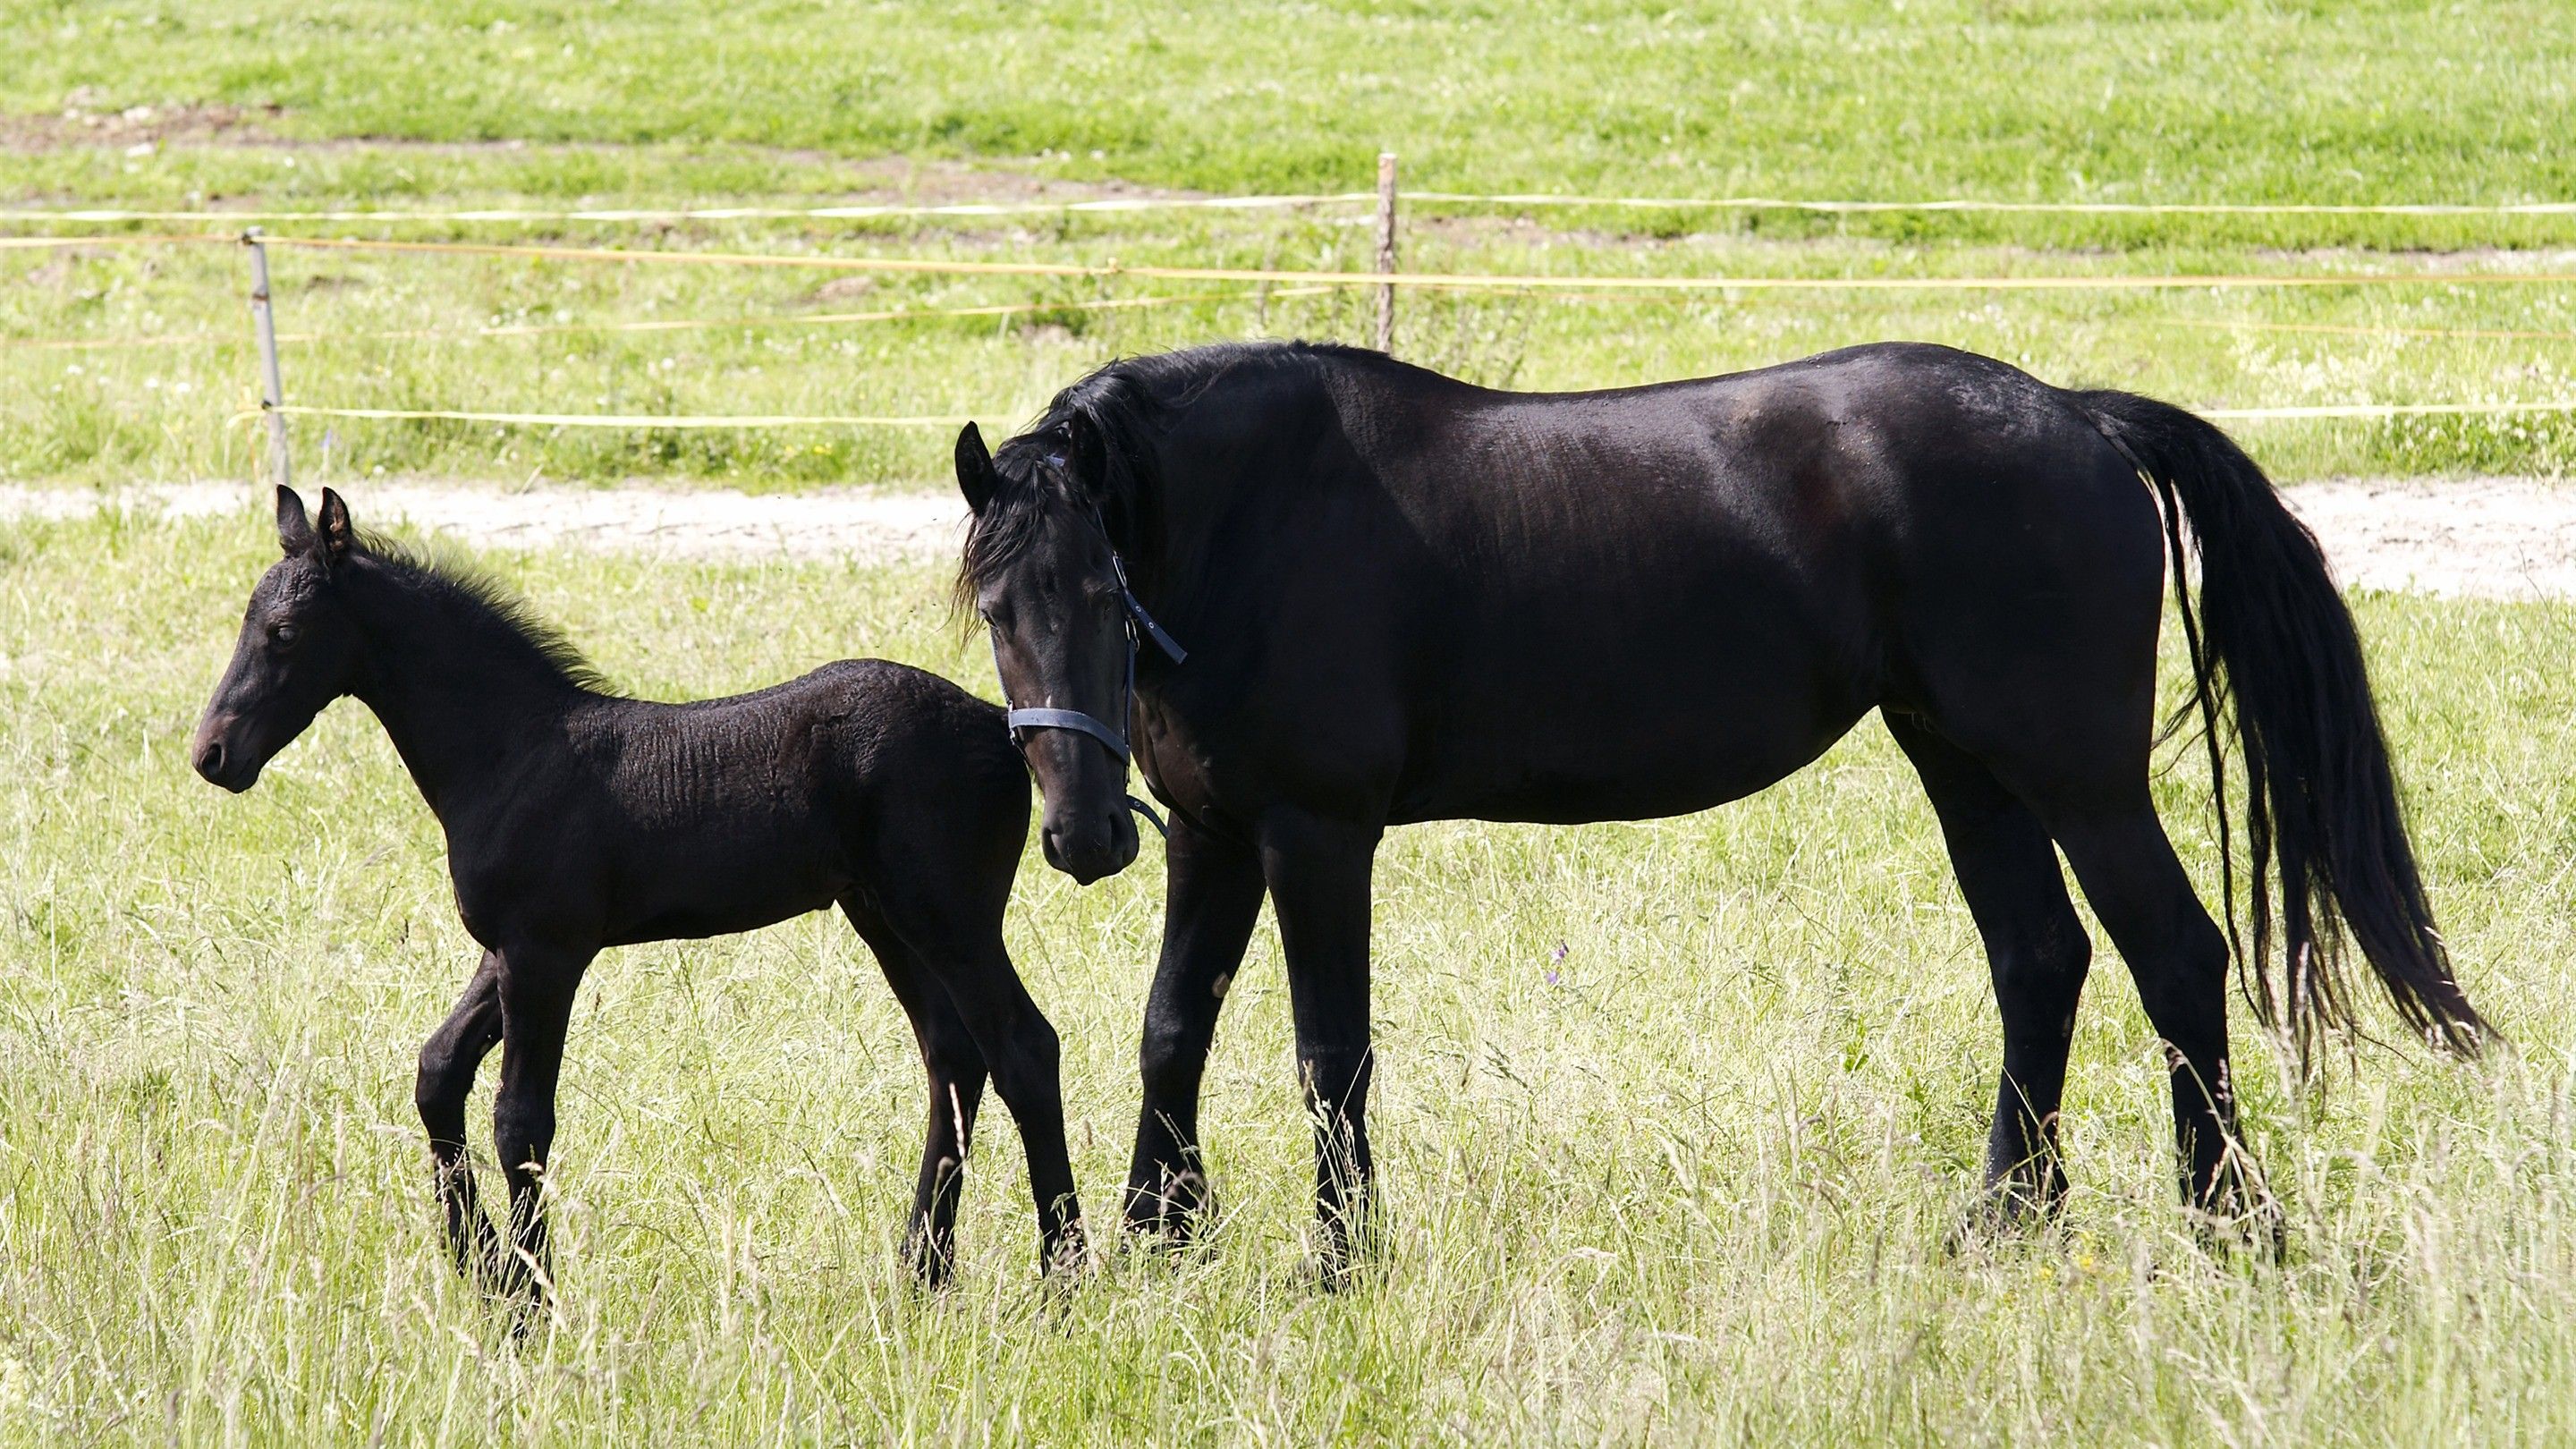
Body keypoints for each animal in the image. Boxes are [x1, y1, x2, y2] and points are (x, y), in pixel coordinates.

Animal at [193, 487, 1084, 1293]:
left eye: (284, 633)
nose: (211, 754)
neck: (511, 751)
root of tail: (1000, 729)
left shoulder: (545, 953)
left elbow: (520, 1121)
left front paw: (530, 1298)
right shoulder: (507, 951)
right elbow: (438, 1071)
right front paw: (480, 1263)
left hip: (949, 918)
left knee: (1023, 1048)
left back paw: (1064, 1281)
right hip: (885, 917)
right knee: (952, 1057)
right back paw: (922, 1272)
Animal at [952, 339, 2485, 1265]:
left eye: (1101, 591)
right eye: (995, 608)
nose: (1081, 837)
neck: (1264, 524)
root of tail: (2080, 418)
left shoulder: (1319, 839)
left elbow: (1332, 1056)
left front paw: (1342, 1262)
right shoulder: (1215, 836)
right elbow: (1171, 1030)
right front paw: (1161, 1240)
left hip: (2076, 778)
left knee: (2173, 956)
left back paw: (2228, 1222)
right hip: (1963, 764)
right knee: (2040, 961)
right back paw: (2002, 1223)